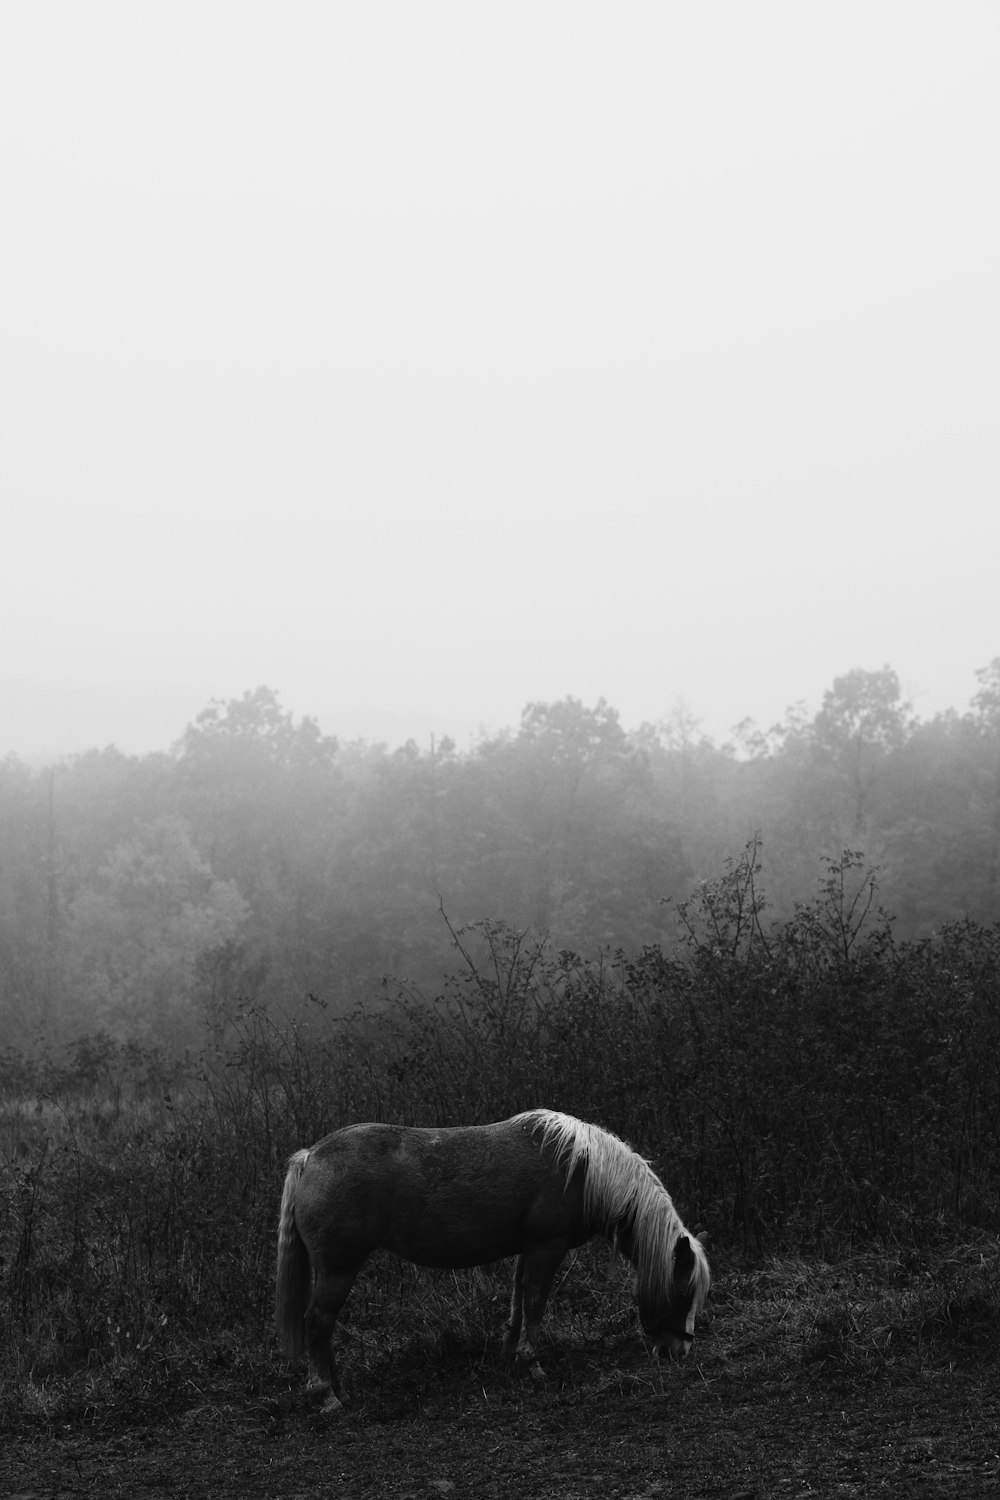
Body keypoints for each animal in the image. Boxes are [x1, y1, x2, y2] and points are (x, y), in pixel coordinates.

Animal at [274, 1104, 710, 1404]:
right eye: (683, 1292)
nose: (681, 1351)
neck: (581, 1169)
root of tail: (311, 1158)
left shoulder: (527, 1250)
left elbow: (517, 1305)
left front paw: (511, 1358)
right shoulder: (546, 1248)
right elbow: (535, 1304)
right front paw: (534, 1365)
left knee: (323, 1327)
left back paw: (339, 1389)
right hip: (338, 1269)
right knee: (317, 1322)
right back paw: (326, 1396)